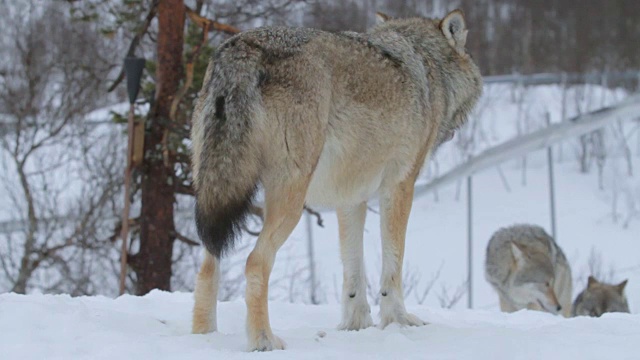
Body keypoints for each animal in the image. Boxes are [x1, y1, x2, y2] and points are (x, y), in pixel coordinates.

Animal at [189, 9, 480, 352]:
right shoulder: (399, 186)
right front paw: (399, 320)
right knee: (255, 262)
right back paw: (263, 340)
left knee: (208, 264)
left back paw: (203, 336)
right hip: (289, 199)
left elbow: (353, 270)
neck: (428, 66)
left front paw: (356, 325)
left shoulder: (351, 198)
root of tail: (241, 46)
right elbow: (393, 263)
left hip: (216, 192)